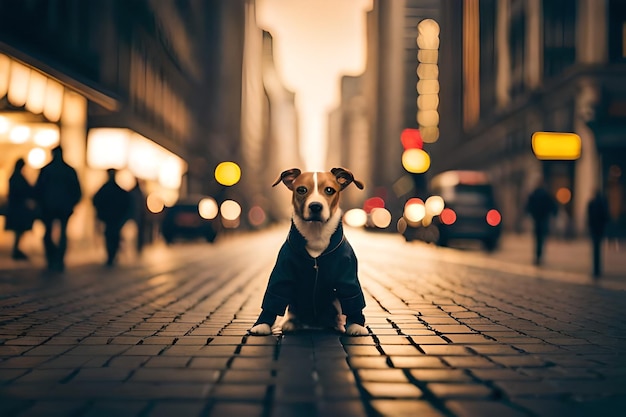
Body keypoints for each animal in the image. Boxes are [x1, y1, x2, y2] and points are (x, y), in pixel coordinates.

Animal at [247, 166, 368, 334]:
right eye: (301, 190)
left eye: (329, 190)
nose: (315, 206)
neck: (316, 232)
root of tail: (315, 324)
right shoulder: (283, 271)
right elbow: (275, 293)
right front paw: (262, 324)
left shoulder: (347, 275)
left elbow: (352, 296)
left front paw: (356, 325)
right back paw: (291, 323)